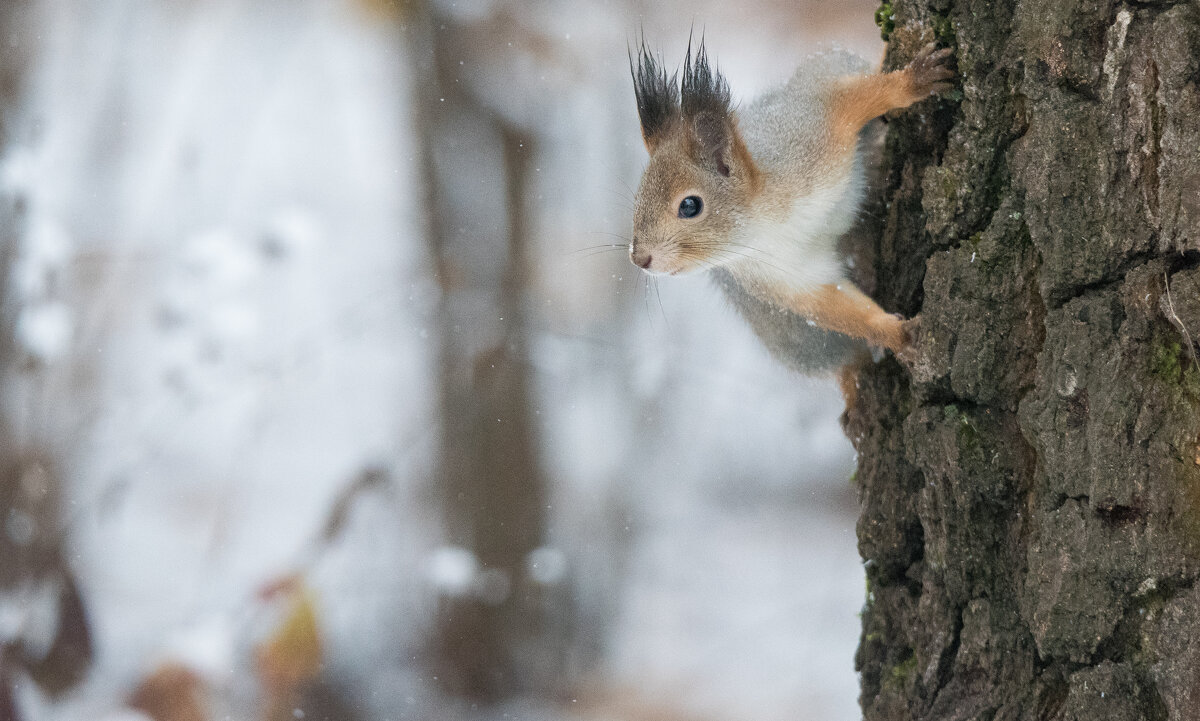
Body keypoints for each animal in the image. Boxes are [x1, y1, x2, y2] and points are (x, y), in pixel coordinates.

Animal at [628, 35, 955, 381]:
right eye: (638, 197)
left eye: (690, 205)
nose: (639, 258)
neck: (765, 224)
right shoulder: (786, 278)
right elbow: (832, 306)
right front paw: (899, 336)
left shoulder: (809, 131)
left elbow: (855, 99)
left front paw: (914, 80)